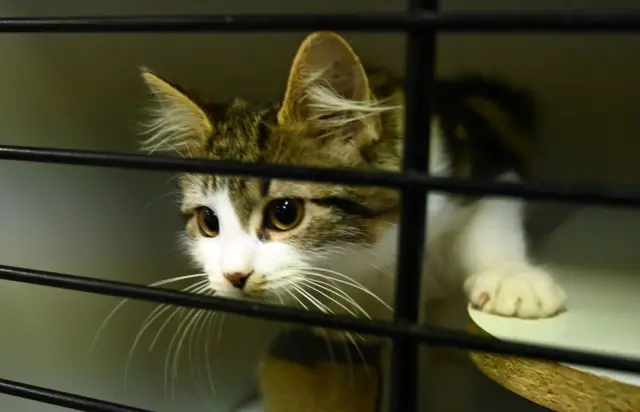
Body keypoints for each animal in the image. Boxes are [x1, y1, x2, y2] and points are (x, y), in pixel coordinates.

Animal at [139, 30, 564, 410]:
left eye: (284, 213)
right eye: (208, 222)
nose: (235, 276)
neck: (370, 256)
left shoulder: (468, 167)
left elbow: (492, 215)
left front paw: (513, 279)